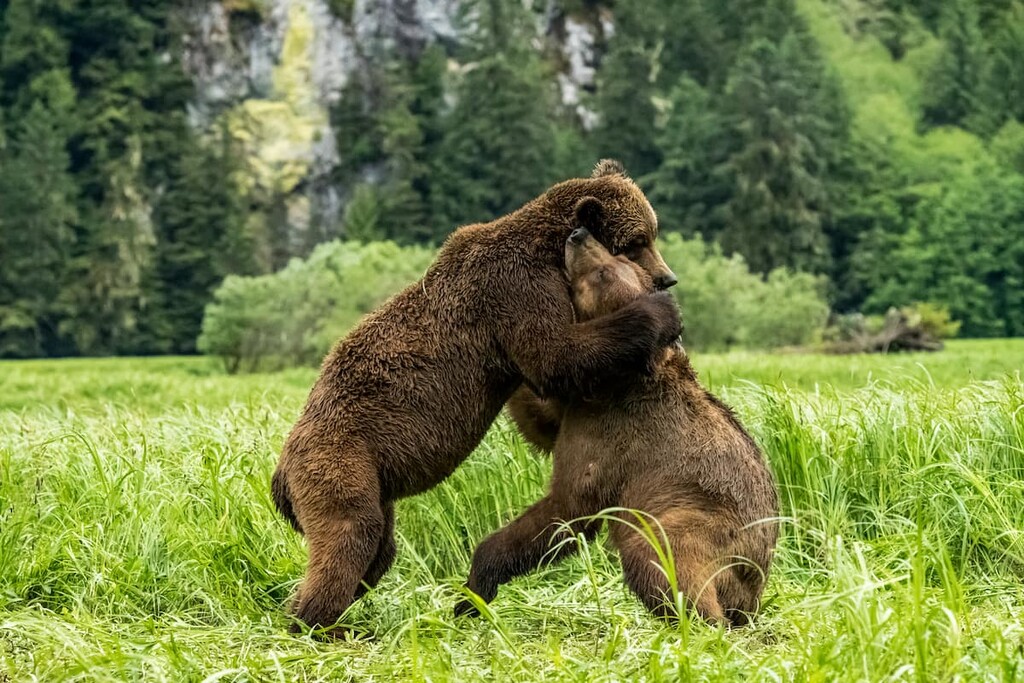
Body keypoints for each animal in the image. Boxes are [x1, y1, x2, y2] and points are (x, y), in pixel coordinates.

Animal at [272, 160, 681, 634]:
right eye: (637, 242)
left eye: (651, 233)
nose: (667, 277)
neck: (550, 252)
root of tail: (281, 471)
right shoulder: (515, 288)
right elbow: (555, 356)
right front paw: (662, 314)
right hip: (339, 461)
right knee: (349, 538)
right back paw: (317, 623)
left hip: (369, 481)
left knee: (376, 551)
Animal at [456, 227, 779, 626]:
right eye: (620, 257)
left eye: (603, 273)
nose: (579, 234)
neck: (619, 380)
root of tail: (752, 592)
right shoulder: (580, 403)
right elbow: (542, 421)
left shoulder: (610, 432)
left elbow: (568, 506)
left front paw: (475, 586)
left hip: (702, 523)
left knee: (659, 559)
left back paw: (698, 621)